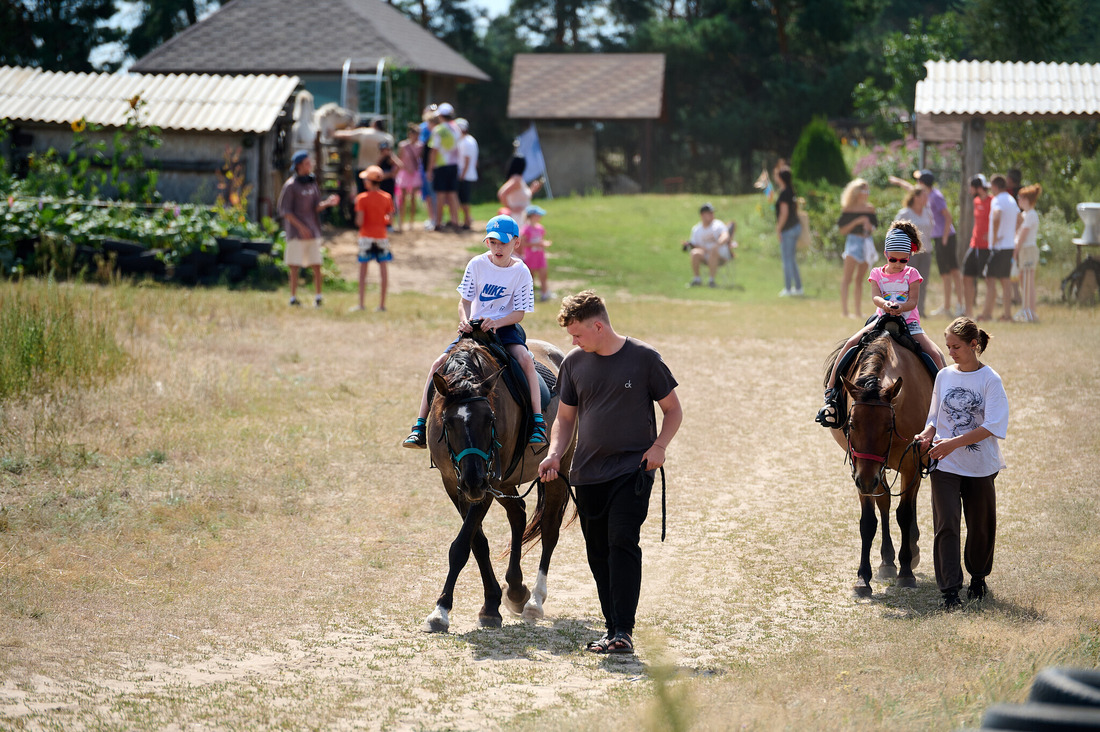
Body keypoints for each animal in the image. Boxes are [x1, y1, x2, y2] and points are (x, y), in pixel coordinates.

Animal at [420, 334, 576, 629]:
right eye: (448, 422)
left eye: (489, 418)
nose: (473, 481)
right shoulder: (454, 483)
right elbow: (477, 543)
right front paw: (491, 604)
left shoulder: (488, 483)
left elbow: (461, 545)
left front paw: (441, 610)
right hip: (503, 483)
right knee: (518, 515)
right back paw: (515, 590)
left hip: (556, 469)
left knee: (549, 529)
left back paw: (534, 600)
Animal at [827, 334, 937, 598]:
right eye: (852, 424)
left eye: (888, 427)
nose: (866, 481)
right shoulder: (861, 469)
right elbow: (869, 521)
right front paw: (862, 579)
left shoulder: (911, 463)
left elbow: (905, 514)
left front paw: (906, 572)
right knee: (885, 503)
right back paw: (887, 561)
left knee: (909, 502)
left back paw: (911, 551)